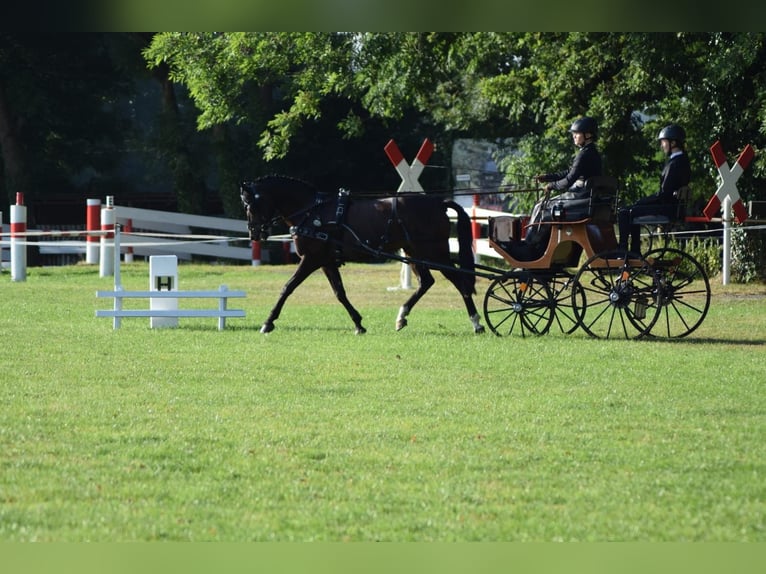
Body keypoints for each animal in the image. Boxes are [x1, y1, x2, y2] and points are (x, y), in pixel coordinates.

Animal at [240, 178, 486, 336]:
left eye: (251, 205)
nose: (254, 234)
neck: (312, 212)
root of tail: (437, 203)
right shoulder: (327, 262)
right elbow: (339, 293)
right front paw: (358, 324)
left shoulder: (311, 259)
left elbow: (287, 287)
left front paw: (268, 322)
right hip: (414, 252)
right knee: (426, 282)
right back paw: (402, 316)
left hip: (435, 252)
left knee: (459, 281)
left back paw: (476, 322)